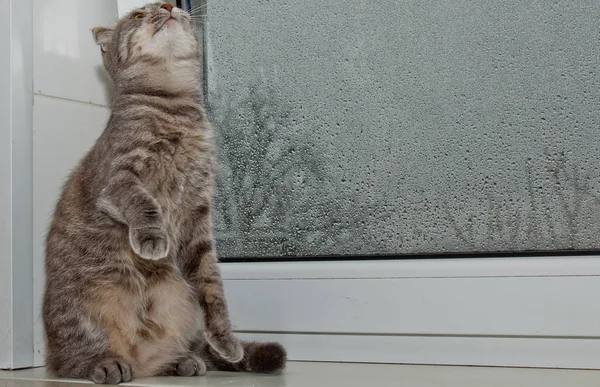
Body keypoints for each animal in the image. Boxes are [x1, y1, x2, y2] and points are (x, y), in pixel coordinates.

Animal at [42, 3, 286, 384]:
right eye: (137, 16)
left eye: (161, 6)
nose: (168, 7)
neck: (177, 108)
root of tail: (137, 361)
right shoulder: (119, 179)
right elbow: (144, 203)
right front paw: (152, 238)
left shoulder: (198, 212)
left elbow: (212, 286)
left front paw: (225, 340)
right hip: (84, 309)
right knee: (73, 360)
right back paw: (106, 364)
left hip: (180, 302)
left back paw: (183, 360)